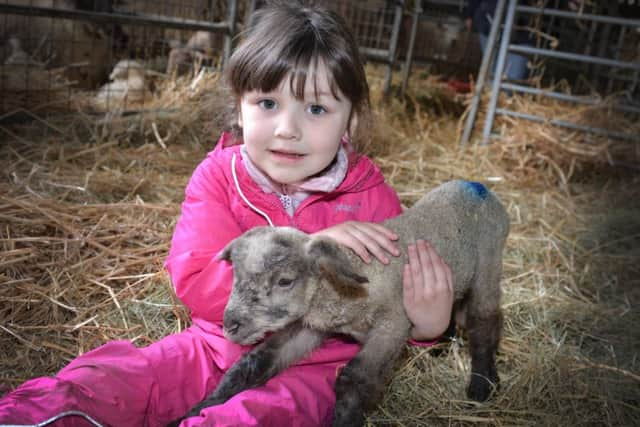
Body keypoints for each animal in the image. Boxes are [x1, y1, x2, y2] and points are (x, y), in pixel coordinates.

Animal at [170, 180, 510, 427]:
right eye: (234, 274)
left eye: (285, 281)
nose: (231, 325)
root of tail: (477, 186)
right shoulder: (306, 326)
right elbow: (253, 364)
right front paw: (194, 411)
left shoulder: (393, 324)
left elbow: (354, 378)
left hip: (489, 261)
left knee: (485, 320)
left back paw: (482, 386)